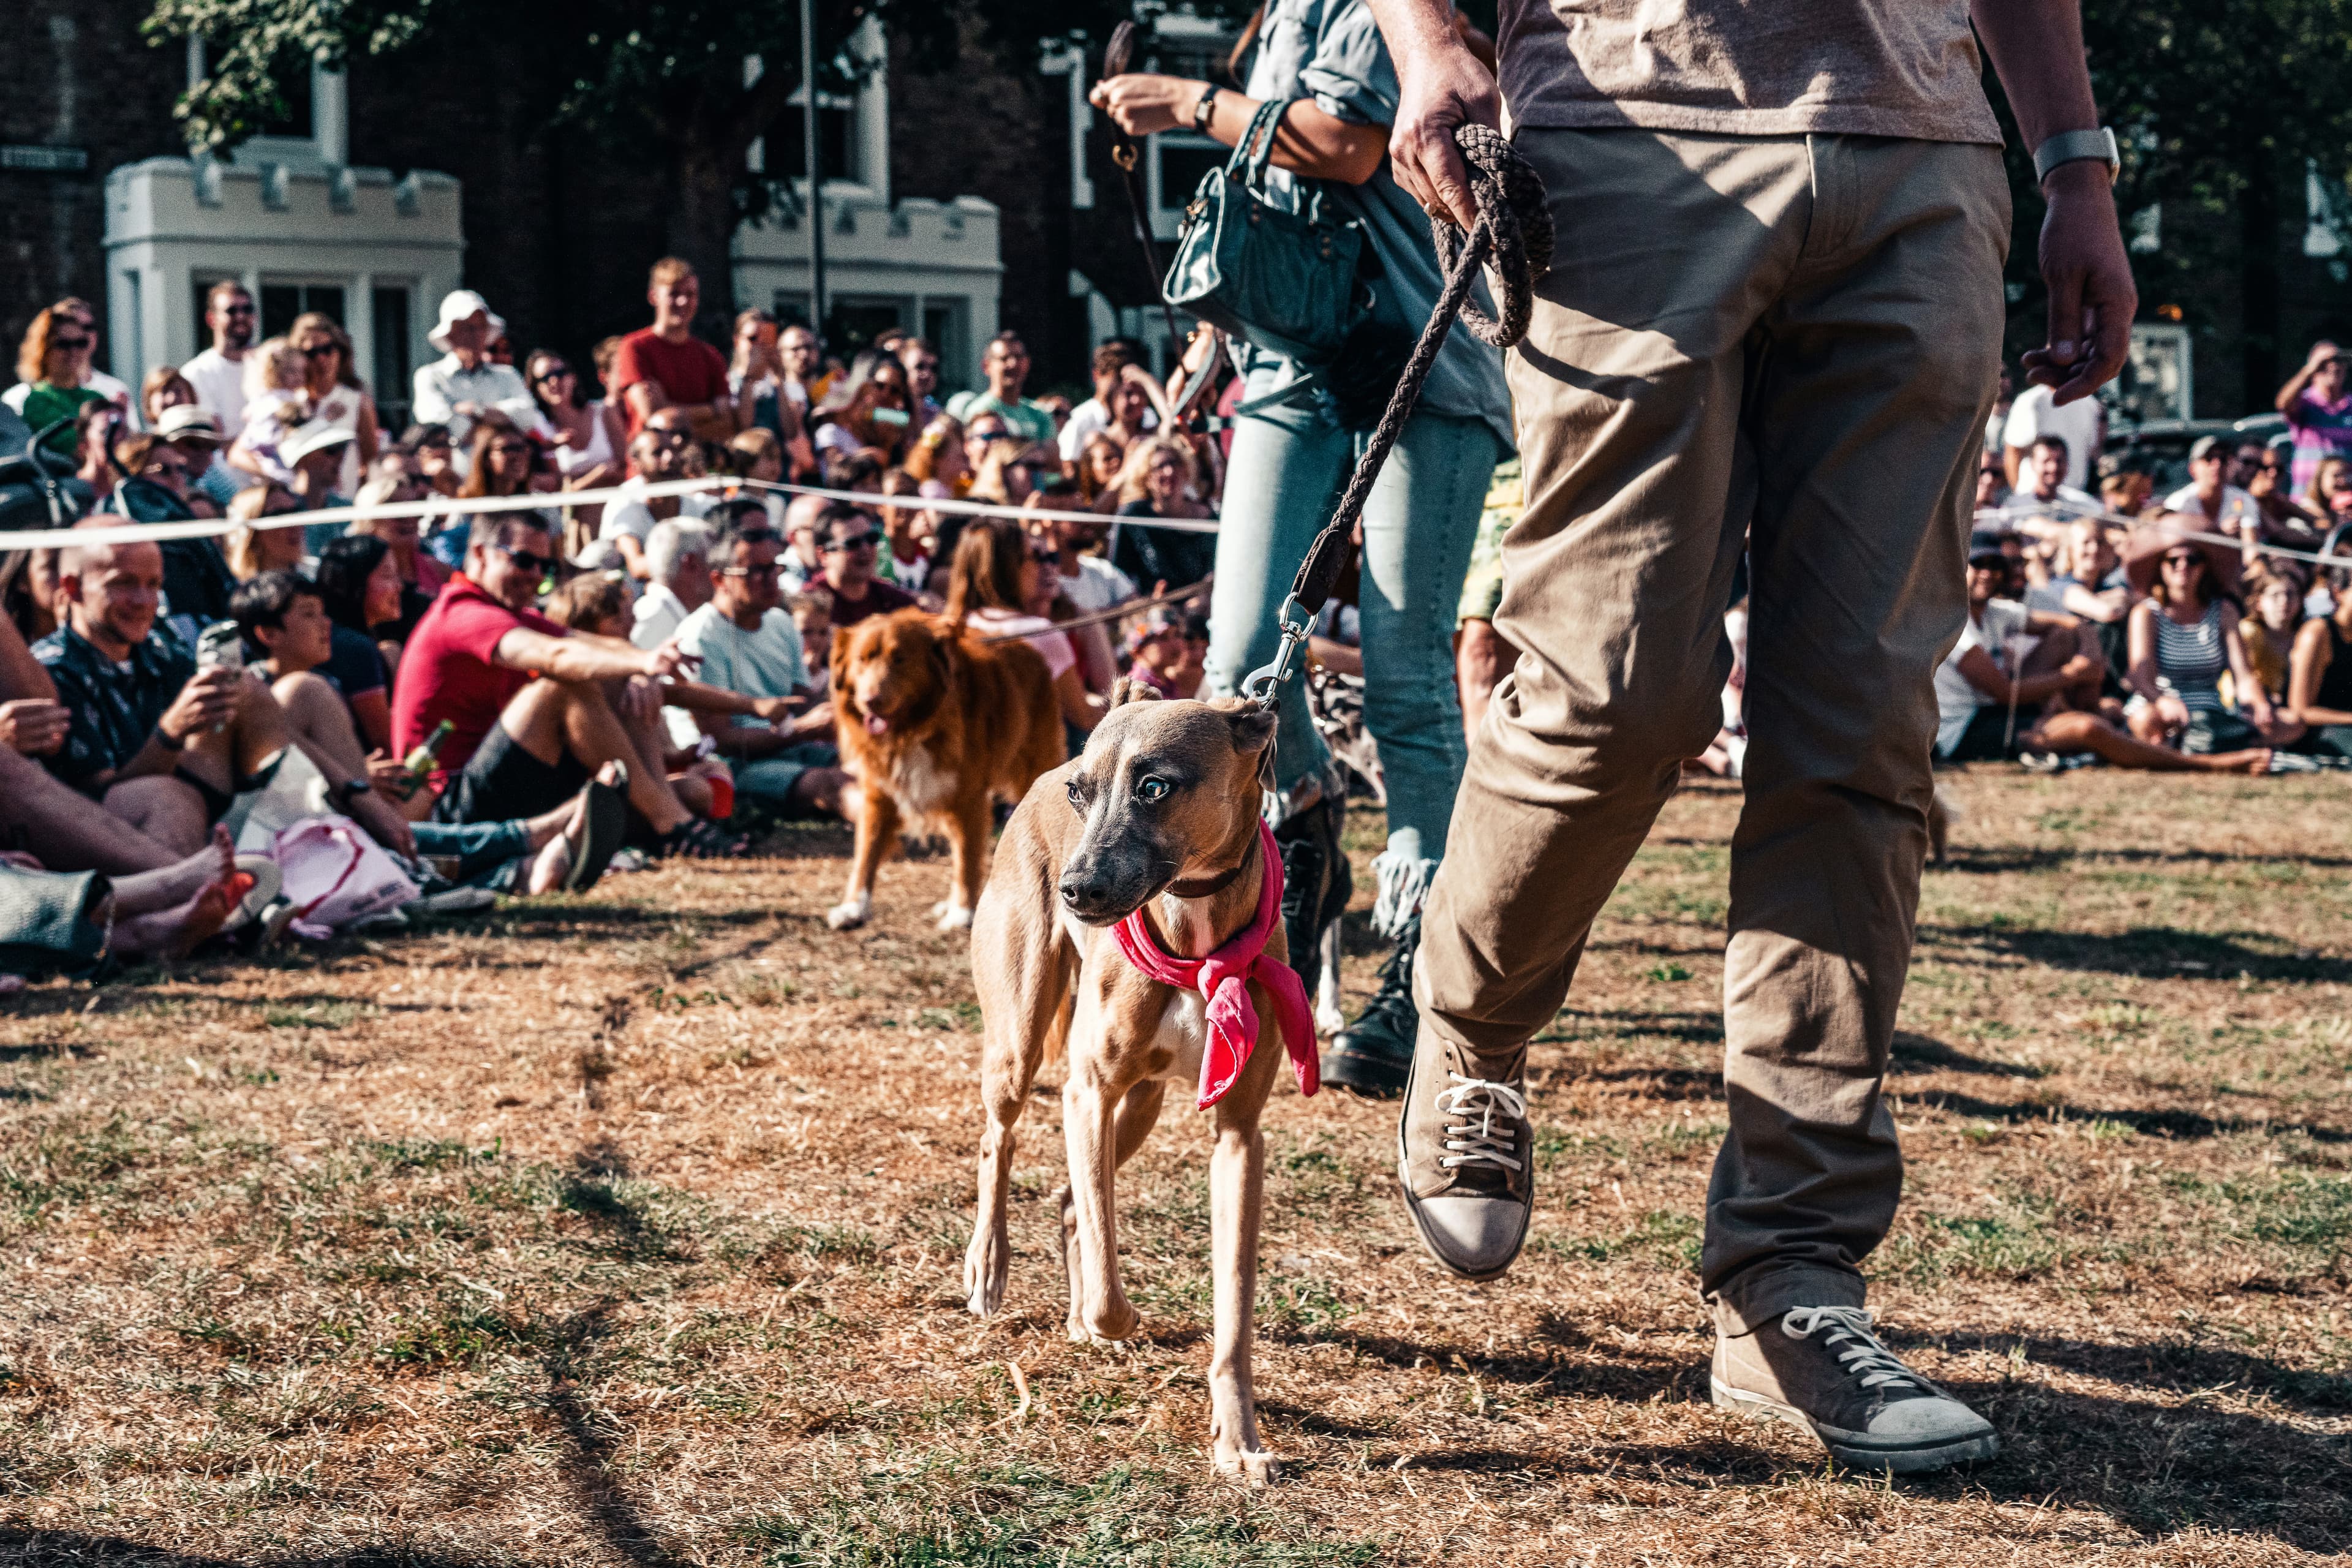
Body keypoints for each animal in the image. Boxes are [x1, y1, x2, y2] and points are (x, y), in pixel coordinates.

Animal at [827, 611, 1068, 930]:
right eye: (861, 660)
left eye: (899, 659)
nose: (870, 702)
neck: (913, 730)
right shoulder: (879, 796)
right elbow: (866, 854)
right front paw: (853, 907)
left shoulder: (968, 798)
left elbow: (967, 857)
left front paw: (963, 912)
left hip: (1033, 772)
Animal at [969, 686, 1317, 1485]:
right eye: (1081, 792)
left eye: (1156, 786)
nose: (1077, 889)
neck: (1195, 943)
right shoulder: (1087, 1093)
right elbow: (1107, 1282)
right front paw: (1112, 1319)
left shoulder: (1238, 1136)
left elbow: (1233, 1308)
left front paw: (1238, 1437)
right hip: (1021, 1041)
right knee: (999, 1141)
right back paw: (989, 1264)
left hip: (1144, 1103)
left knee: (1070, 1201)